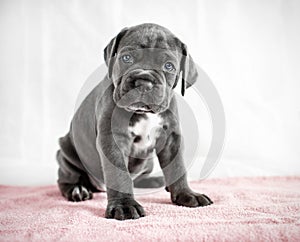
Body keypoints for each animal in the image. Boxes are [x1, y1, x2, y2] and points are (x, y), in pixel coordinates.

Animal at [56, 23, 213, 220]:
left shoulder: (171, 138)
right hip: (66, 150)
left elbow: (177, 167)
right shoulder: (113, 139)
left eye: (169, 66)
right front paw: (124, 205)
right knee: (67, 176)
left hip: (148, 162)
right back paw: (77, 189)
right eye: (126, 58)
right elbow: (119, 175)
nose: (144, 82)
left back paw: (156, 181)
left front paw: (187, 194)